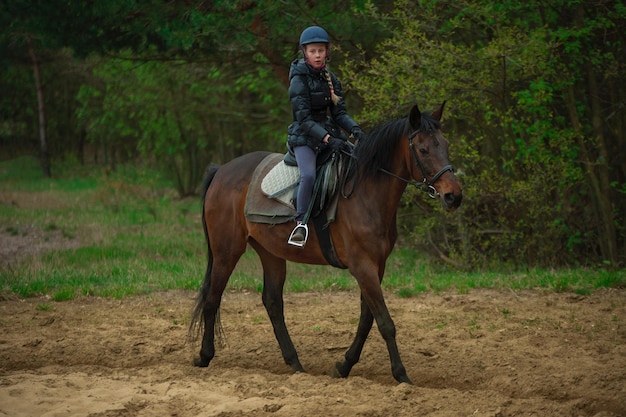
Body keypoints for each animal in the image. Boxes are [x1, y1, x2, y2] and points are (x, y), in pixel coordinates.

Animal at [188, 101, 460, 384]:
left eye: (446, 145)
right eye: (423, 149)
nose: (454, 196)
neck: (366, 192)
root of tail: (222, 170)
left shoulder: (377, 266)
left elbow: (367, 320)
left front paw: (344, 365)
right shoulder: (363, 267)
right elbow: (385, 322)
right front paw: (401, 375)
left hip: (270, 252)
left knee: (272, 302)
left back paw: (295, 364)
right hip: (226, 251)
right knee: (212, 298)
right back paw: (205, 356)